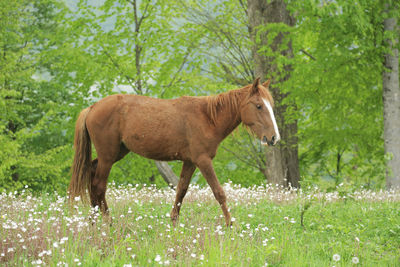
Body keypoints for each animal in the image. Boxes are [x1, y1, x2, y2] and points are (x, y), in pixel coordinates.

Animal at [69, 77, 280, 226]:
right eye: (259, 106)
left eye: (270, 106)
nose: (273, 138)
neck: (207, 118)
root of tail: (92, 107)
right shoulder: (203, 161)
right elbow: (219, 192)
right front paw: (230, 225)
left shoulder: (190, 162)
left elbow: (181, 191)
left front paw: (174, 223)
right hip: (108, 156)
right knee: (98, 186)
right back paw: (106, 222)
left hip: (116, 153)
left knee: (92, 176)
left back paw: (95, 221)